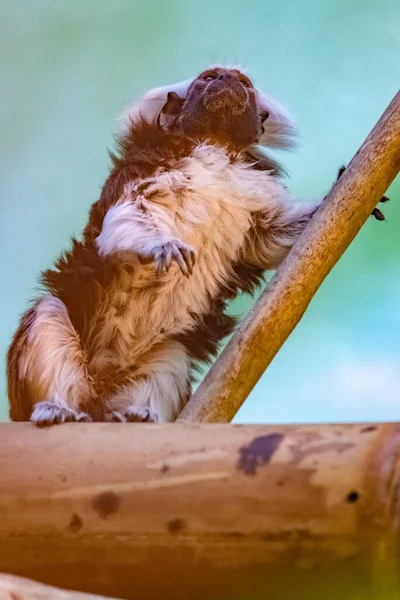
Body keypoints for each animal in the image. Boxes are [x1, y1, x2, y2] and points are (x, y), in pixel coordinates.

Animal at [6, 67, 388, 426]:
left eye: (244, 84)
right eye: (209, 77)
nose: (229, 79)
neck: (215, 146)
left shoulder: (253, 200)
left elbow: (269, 238)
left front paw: (341, 193)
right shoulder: (142, 171)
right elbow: (128, 215)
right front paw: (162, 246)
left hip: (153, 360)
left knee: (172, 357)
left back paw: (137, 415)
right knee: (48, 314)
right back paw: (57, 407)